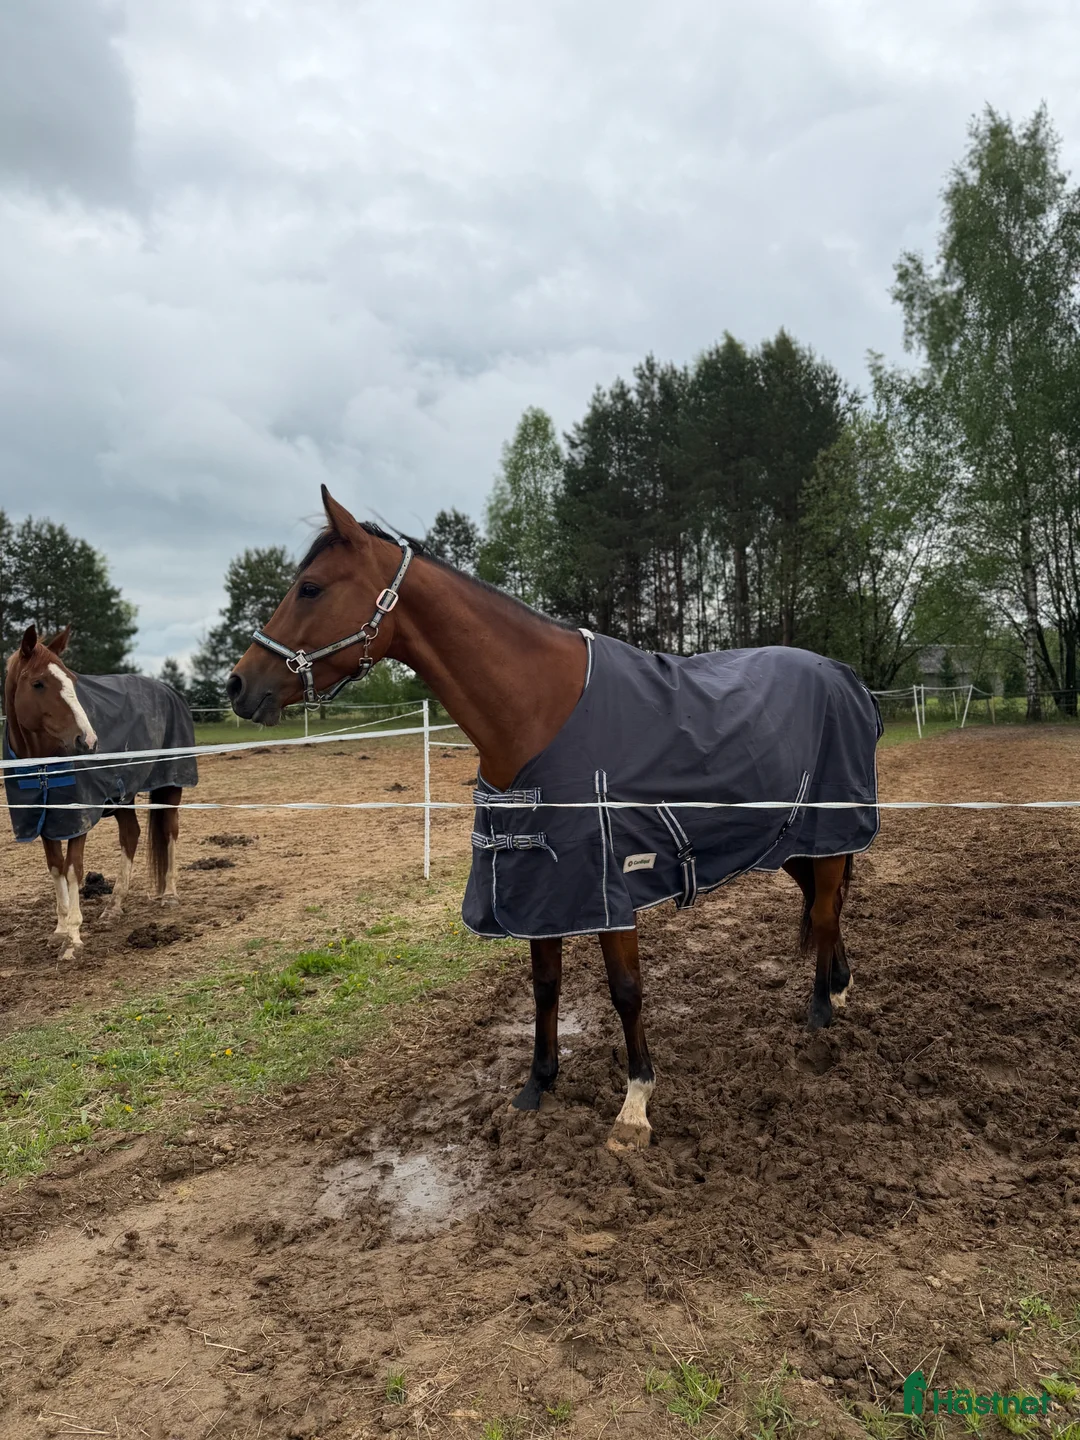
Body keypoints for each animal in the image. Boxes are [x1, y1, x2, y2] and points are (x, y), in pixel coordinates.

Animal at [3, 625, 198, 962]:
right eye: (38, 683)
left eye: (72, 680)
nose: (88, 740)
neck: (42, 765)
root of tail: (169, 691)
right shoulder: (47, 819)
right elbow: (55, 868)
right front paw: (59, 930)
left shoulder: (77, 816)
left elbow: (73, 869)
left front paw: (72, 938)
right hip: (123, 796)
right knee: (131, 835)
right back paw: (114, 907)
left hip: (170, 785)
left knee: (170, 830)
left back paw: (170, 895)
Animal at [226, 487, 881, 1151]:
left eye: (310, 588)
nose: (237, 685)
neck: (536, 711)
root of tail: (845, 677)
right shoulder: (535, 881)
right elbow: (545, 985)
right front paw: (537, 1085)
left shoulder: (609, 886)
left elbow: (626, 991)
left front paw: (634, 1106)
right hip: (790, 841)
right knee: (825, 905)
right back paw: (840, 986)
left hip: (826, 834)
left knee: (824, 913)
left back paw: (820, 1012)